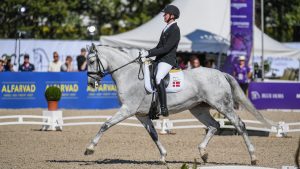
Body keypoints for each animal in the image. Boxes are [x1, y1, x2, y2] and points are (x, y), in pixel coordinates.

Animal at [84, 45, 272, 165]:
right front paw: (163, 157)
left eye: (92, 60)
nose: (91, 83)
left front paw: (89, 149)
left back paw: (253, 157)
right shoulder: (141, 115)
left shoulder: (127, 109)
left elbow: (105, 125)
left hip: (222, 105)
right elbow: (154, 135)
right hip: (198, 109)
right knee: (214, 126)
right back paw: (203, 153)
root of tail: (220, 73)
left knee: (239, 125)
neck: (128, 74)